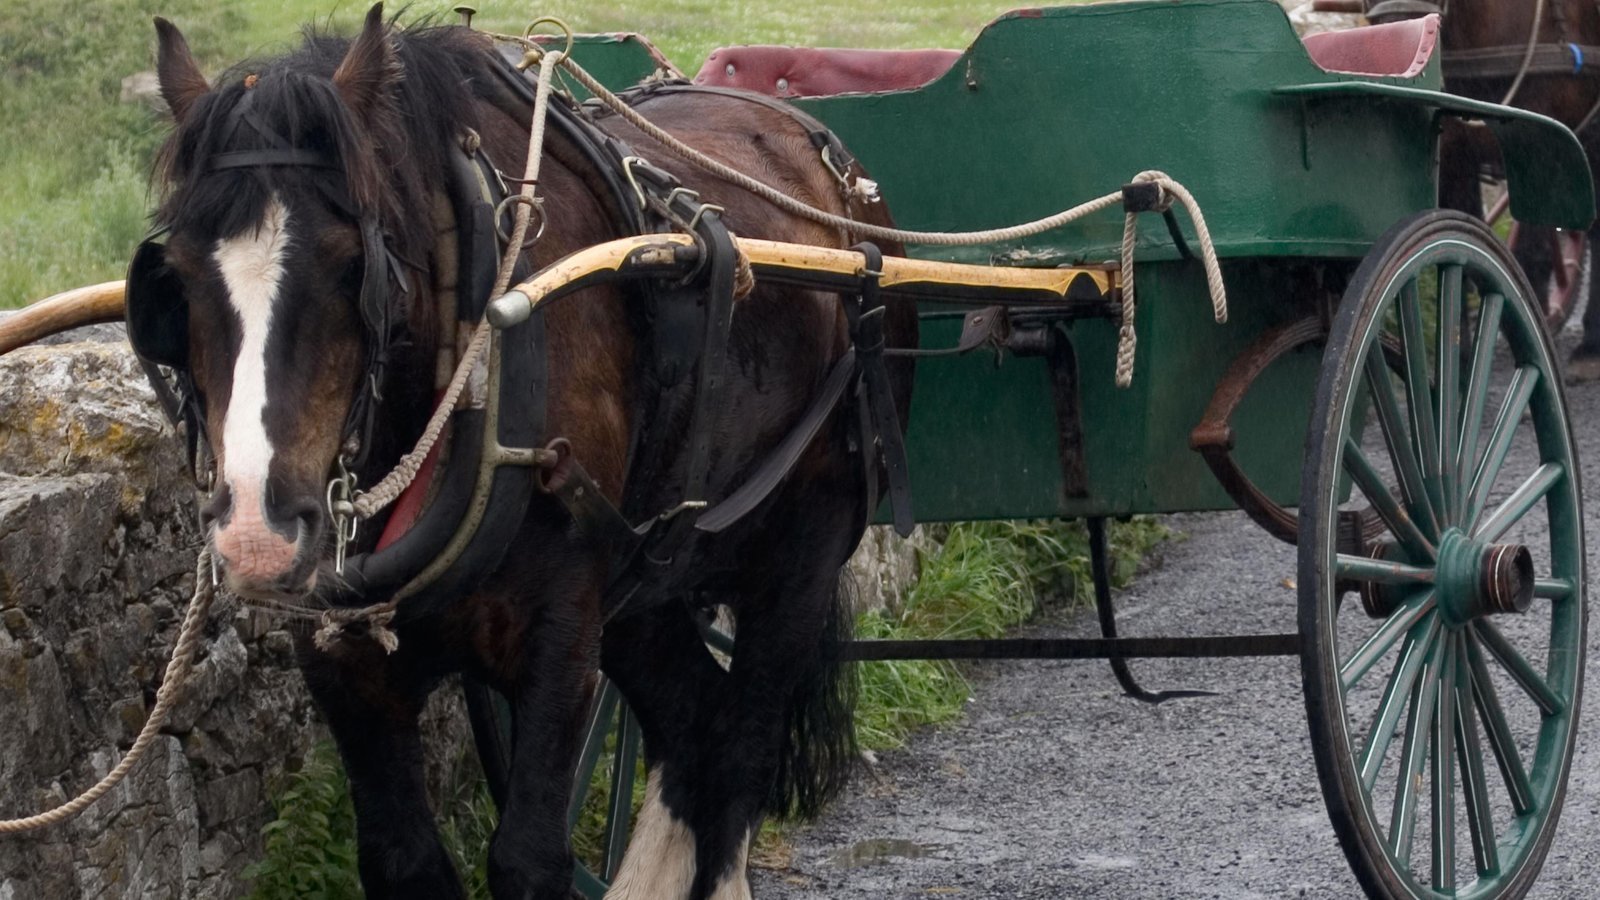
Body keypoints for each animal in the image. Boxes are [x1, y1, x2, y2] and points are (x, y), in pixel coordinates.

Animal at [143, 5, 914, 897]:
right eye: (176, 276)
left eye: (352, 265)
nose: (256, 537)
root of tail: (842, 173)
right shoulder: (342, 662)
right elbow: (402, 858)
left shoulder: (560, 636)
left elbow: (528, 856)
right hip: (646, 578)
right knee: (694, 720)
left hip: (803, 547)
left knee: (744, 740)